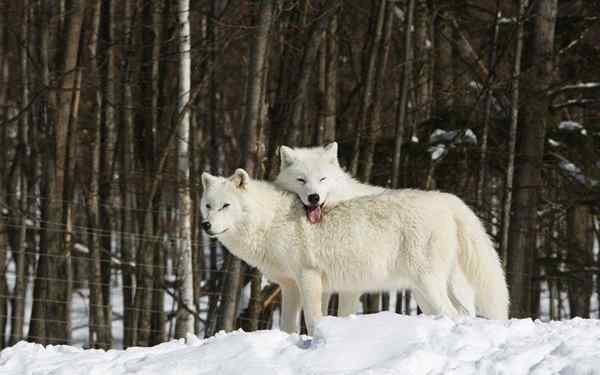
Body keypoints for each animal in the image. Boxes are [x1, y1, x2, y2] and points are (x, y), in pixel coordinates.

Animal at [200, 169, 506, 336]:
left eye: (226, 206)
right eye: (208, 205)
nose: (205, 226)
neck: (269, 221)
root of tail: (447, 199)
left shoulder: (310, 279)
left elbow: (313, 320)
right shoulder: (289, 286)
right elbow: (288, 326)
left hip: (427, 285)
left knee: (454, 314)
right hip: (422, 290)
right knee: (459, 313)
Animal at [274, 142, 508, 320]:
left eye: (322, 179)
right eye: (301, 180)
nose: (314, 197)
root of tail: (447, 198)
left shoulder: (349, 286)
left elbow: (340, 314)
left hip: (430, 283)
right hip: (423, 290)